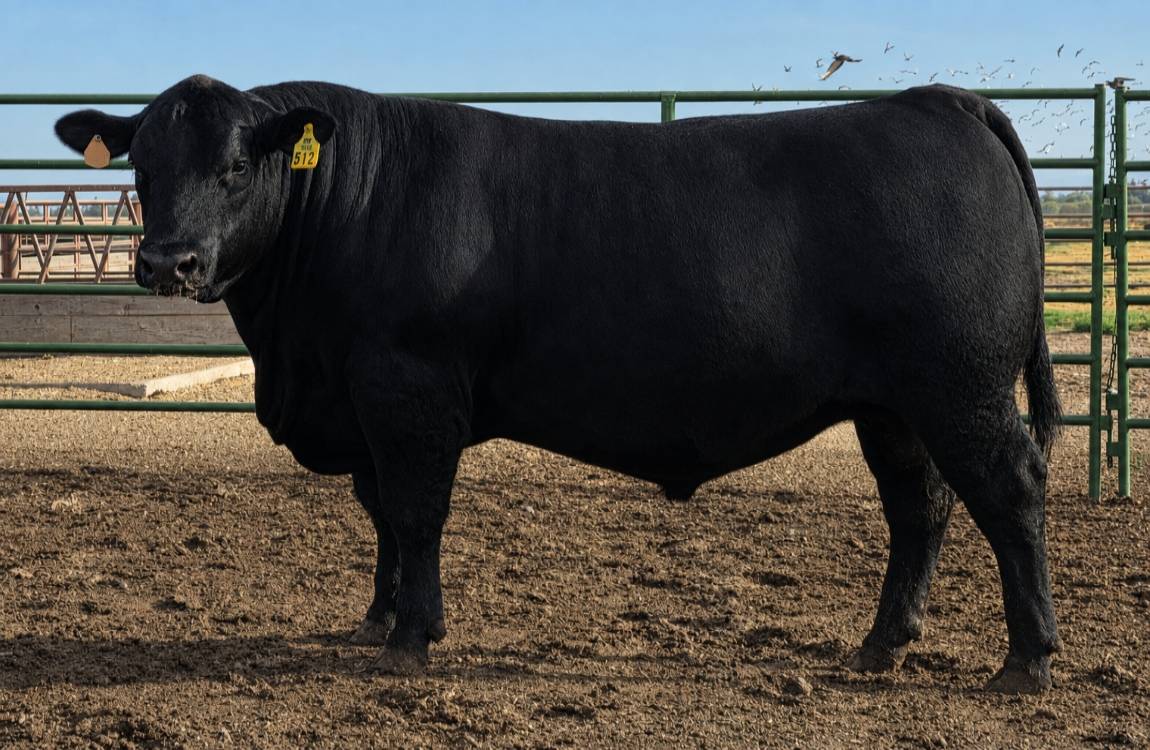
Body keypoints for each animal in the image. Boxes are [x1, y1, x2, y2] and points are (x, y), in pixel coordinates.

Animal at [55, 75, 1061, 693]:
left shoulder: (409, 387)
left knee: (1009, 494)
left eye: (235, 165)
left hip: (961, 389)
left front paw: (414, 638)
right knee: (919, 507)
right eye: (142, 165)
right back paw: (883, 644)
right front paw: (377, 618)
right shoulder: (363, 402)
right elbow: (381, 512)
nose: (167, 261)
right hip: (893, 407)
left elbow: (416, 510)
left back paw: (1027, 661)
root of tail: (941, 100)